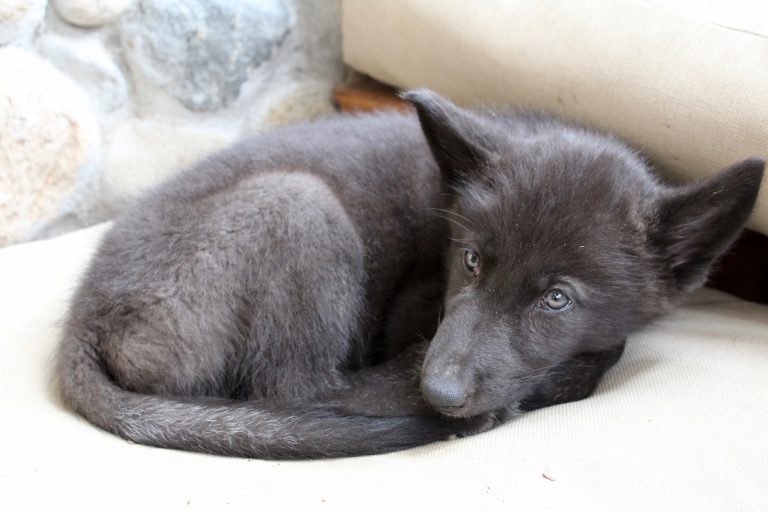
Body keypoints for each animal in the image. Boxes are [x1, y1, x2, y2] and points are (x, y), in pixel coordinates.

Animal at [56, 90, 764, 459]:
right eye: (471, 259)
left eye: (558, 300)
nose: (441, 392)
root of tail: (84, 315)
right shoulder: (416, 311)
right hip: (297, 204)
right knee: (297, 391)